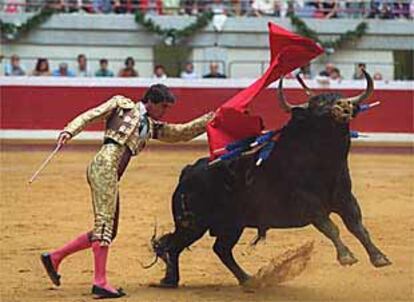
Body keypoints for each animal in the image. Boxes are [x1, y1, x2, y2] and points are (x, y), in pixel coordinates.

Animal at [151, 69, 392, 286]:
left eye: (340, 98)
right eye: (318, 107)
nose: (342, 107)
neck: (325, 165)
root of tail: (188, 171)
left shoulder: (346, 200)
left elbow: (358, 227)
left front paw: (379, 257)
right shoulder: (309, 205)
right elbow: (331, 227)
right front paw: (347, 257)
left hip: (231, 225)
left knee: (220, 249)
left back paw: (247, 279)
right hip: (193, 224)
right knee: (174, 246)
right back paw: (170, 281)